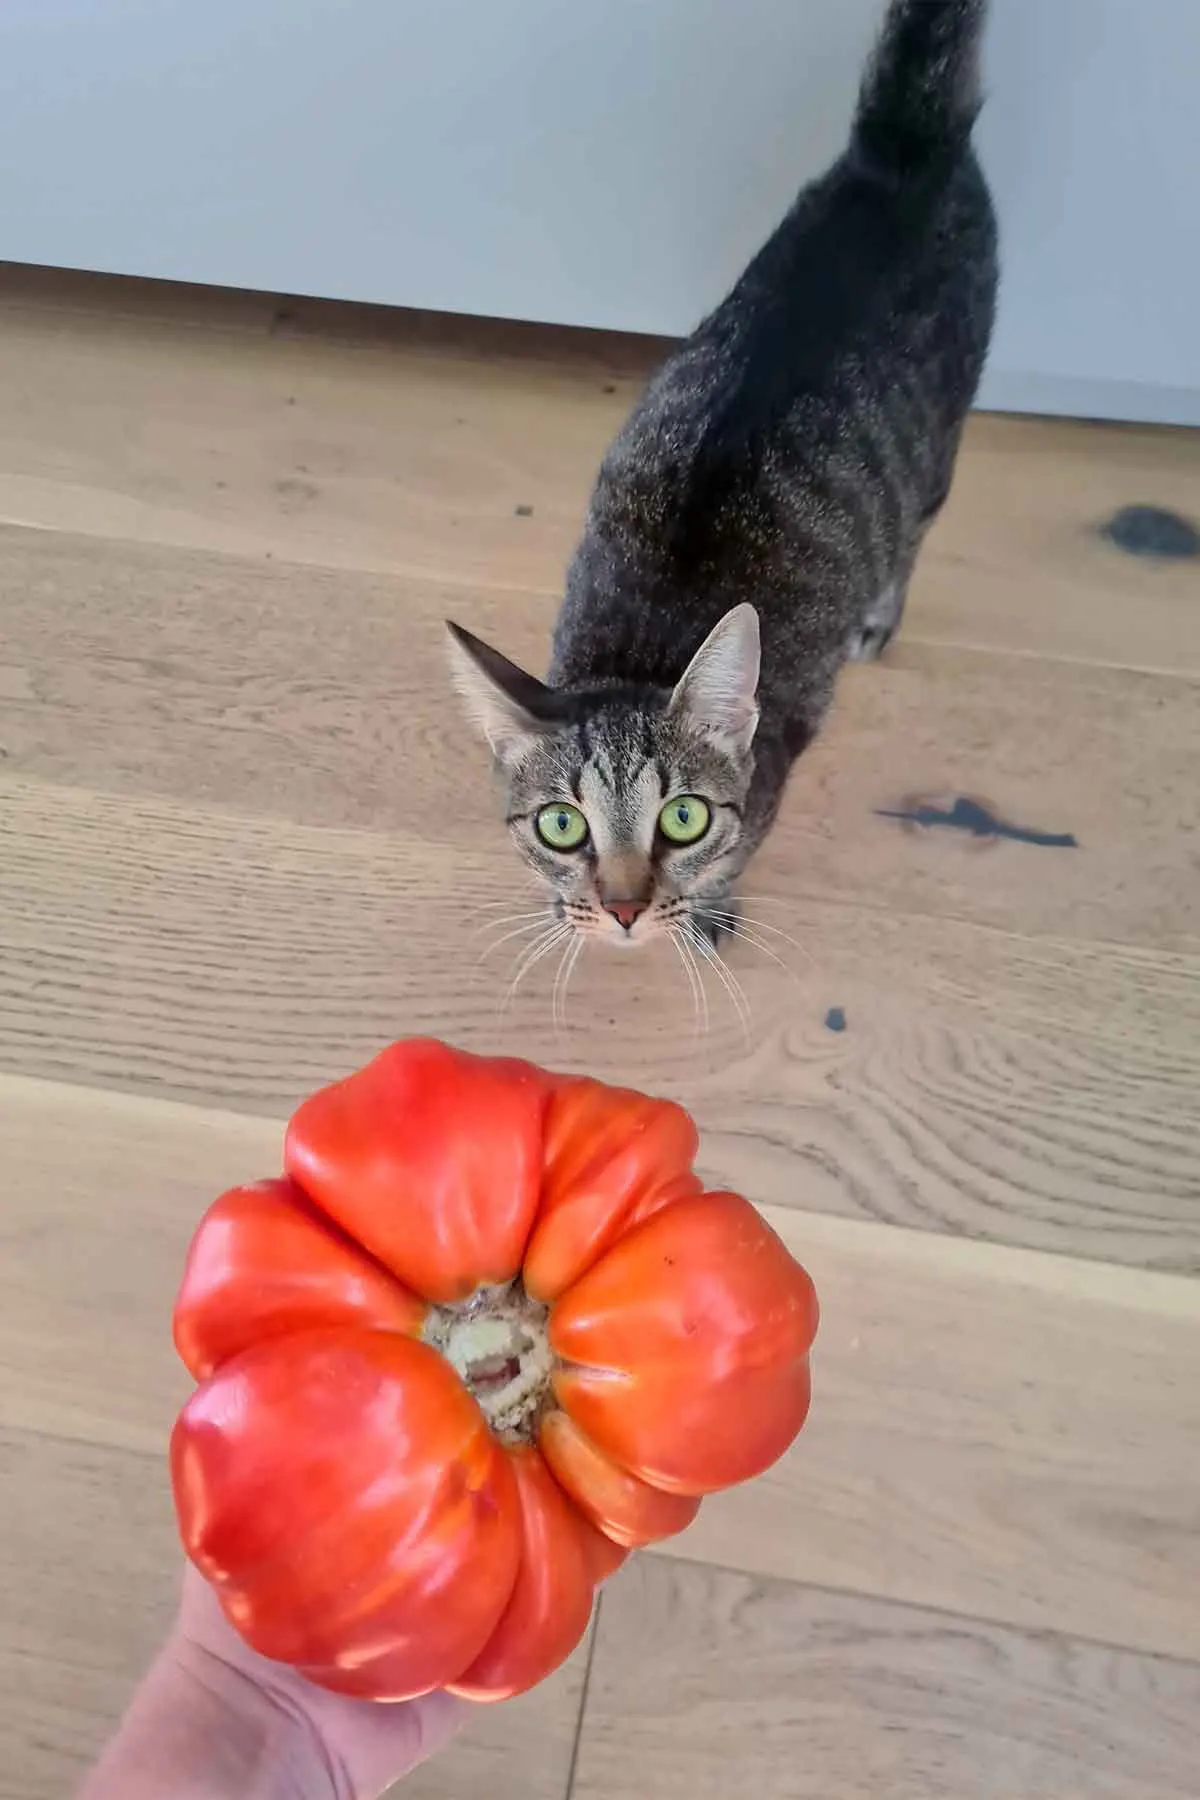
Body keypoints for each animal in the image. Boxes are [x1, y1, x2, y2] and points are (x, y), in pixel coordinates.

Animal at [447, 0, 993, 957]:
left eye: (685, 819)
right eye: (562, 826)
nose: (623, 910)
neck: (632, 648)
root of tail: (901, 151)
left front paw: (705, 908)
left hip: (938, 457)